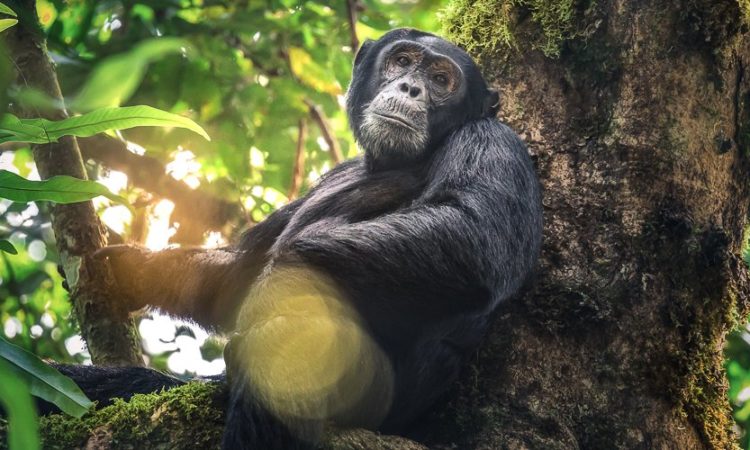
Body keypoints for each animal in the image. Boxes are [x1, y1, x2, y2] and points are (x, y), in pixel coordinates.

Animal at [61, 28, 540, 450]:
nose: (411, 87)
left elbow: (470, 236)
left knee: (291, 340)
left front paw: (272, 294)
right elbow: (238, 273)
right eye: (403, 61)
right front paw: (133, 270)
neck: (388, 162)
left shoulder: (494, 143)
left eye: (442, 80)